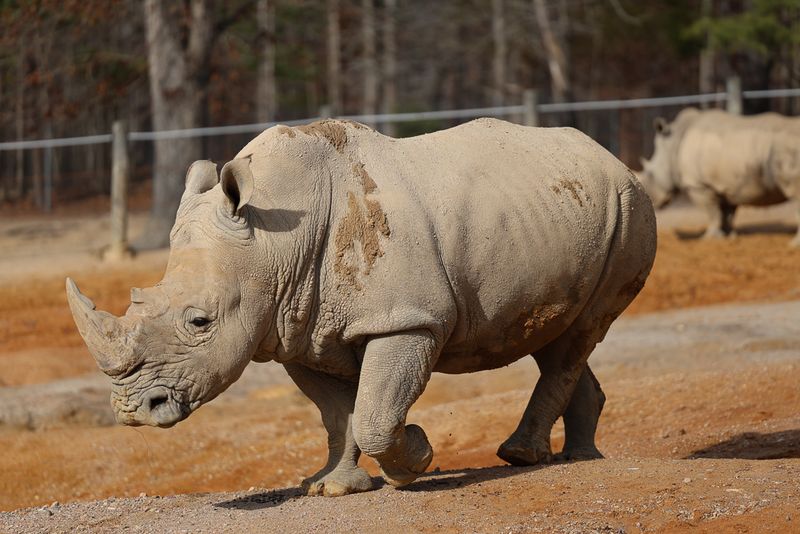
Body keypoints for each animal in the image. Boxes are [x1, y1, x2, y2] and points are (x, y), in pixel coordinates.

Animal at [67, 118, 656, 496]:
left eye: (199, 322)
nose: (133, 411)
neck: (275, 243)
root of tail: (612, 159)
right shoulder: (293, 330)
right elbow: (337, 414)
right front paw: (331, 487)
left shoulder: (406, 320)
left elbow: (374, 411)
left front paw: (414, 460)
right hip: (564, 211)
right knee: (560, 336)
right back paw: (577, 456)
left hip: (629, 209)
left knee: (579, 334)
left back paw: (521, 457)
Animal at [639, 108, 800, 246]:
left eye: (651, 174)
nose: (653, 202)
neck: (674, 144)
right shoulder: (728, 186)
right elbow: (726, 213)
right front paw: (729, 237)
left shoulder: (699, 185)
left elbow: (712, 213)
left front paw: (708, 238)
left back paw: (793, 245)